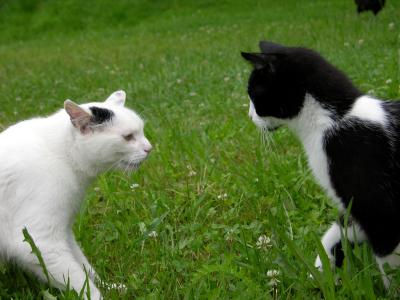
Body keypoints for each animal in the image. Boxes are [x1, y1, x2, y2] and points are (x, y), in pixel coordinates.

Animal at [0, 91, 152, 298]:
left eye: (142, 132)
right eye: (128, 137)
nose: (149, 148)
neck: (61, 155)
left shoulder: (64, 232)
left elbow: (86, 270)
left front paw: (110, 287)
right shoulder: (42, 241)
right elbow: (80, 282)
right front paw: (99, 296)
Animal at [241, 41, 400, 288]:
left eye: (253, 94)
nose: (249, 115)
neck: (334, 119)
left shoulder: (378, 207)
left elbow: (389, 261)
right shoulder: (354, 207)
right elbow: (338, 234)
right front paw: (319, 275)